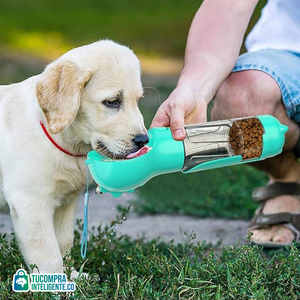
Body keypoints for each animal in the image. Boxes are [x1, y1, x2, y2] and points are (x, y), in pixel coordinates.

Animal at [0, 39, 148, 274]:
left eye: (138, 100)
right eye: (112, 101)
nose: (144, 140)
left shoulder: (65, 203)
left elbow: (63, 242)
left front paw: (74, 275)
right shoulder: (29, 201)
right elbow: (47, 252)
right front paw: (56, 281)